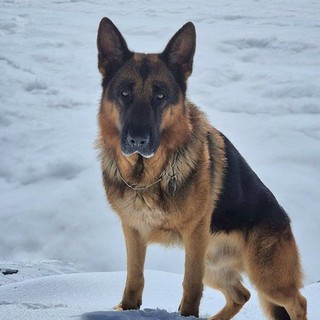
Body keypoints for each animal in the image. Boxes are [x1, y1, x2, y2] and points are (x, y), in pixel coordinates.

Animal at [95, 18, 308, 320]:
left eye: (160, 96)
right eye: (125, 93)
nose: (137, 140)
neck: (149, 176)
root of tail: (285, 219)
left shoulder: (195, 236)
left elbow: (190, 284)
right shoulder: (133, 230)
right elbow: (134, 279)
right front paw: (126, 309)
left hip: (266, 276)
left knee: (297, 302)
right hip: (214, 265)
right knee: (241, 294)